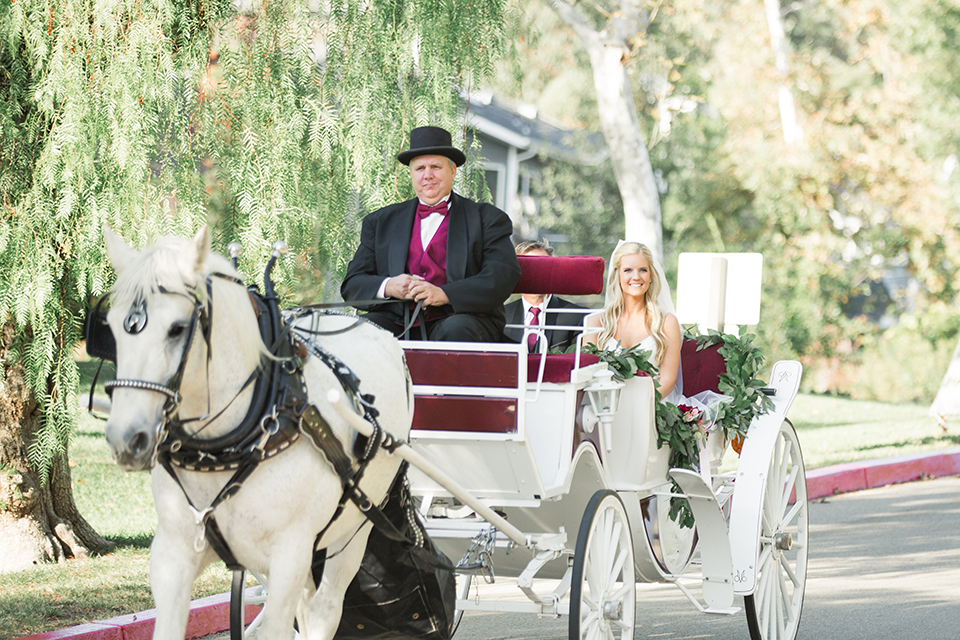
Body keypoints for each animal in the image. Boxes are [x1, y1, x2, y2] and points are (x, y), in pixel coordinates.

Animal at [103, 228, 414, 636]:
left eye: (177, 329)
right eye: (110, 328)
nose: (126, 439)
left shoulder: (289, 555)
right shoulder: (172, 555)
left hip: (355, 527)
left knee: (325, 609)